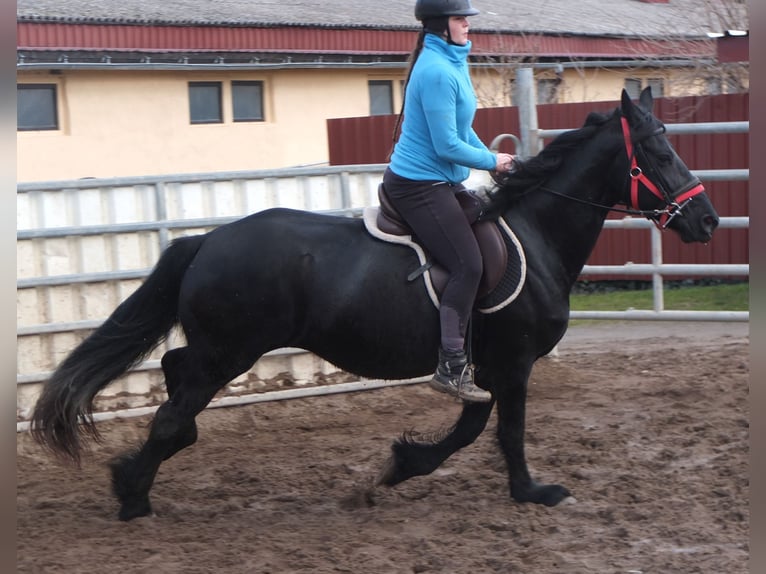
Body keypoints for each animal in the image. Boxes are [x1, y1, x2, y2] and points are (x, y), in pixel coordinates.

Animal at [33, 89, 724, 520]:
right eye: (659, 152)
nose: (708, 221)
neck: (536, 231)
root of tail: (209, 240)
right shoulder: (512, 362)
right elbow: (502, 429)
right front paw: (530, 491)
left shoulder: (489, 367)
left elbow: (473, 425)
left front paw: (402, 465)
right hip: (228, 352)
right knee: (173, 413)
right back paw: (132, 496)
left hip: (216, 350)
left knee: (176, 384)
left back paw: (140, 479)